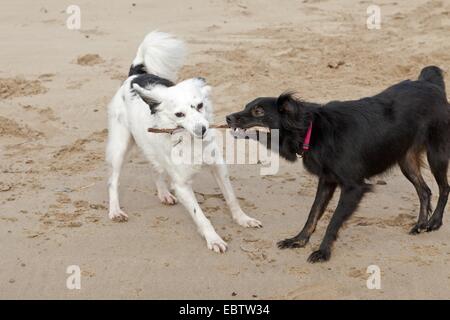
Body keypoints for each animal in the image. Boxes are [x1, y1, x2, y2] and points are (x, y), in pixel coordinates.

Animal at [106, 32, 262, 252]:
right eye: (179, 114)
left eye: (200, 105)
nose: (202, 129)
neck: (191, 142)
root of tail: (134, 76)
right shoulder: (181, 185)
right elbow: (201, 216)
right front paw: (213, 239)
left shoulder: (218, 166)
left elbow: (231, 197)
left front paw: (243, 219)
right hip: (120, 146)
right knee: (113, 180)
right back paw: (115, 210)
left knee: (155, 168)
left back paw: (163, 193)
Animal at [227, 65, 448, 262]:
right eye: (246, 106)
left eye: (258, 111)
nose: (227, 117)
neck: (311, 130)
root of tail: (430, 84)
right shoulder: (326, 181)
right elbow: (313, 213)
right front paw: (299, 240)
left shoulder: (353, 187)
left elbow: (333, 221)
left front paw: (323, 252)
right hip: (406, 160)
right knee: (425, 191)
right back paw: (420, 225)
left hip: (436, 154)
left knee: (444, 188)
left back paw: (434, 222)